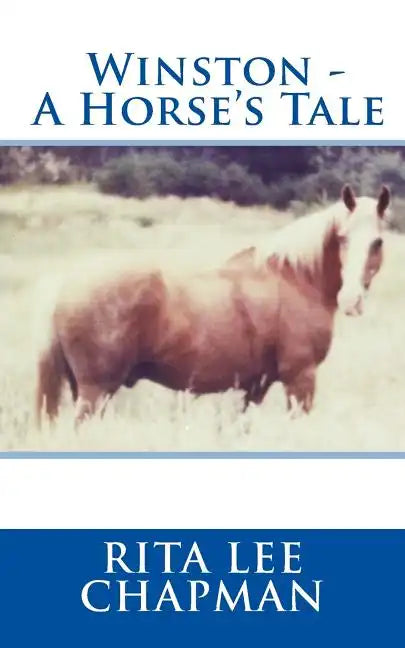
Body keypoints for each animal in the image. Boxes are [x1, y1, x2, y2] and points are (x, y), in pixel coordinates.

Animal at [35, 184, 390, 428]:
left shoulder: (253, 389)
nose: (351, 300)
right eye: (342, 238)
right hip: (94, 393)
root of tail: (68, 286)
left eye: (377, 242)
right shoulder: (300, 381)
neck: (294, 278)